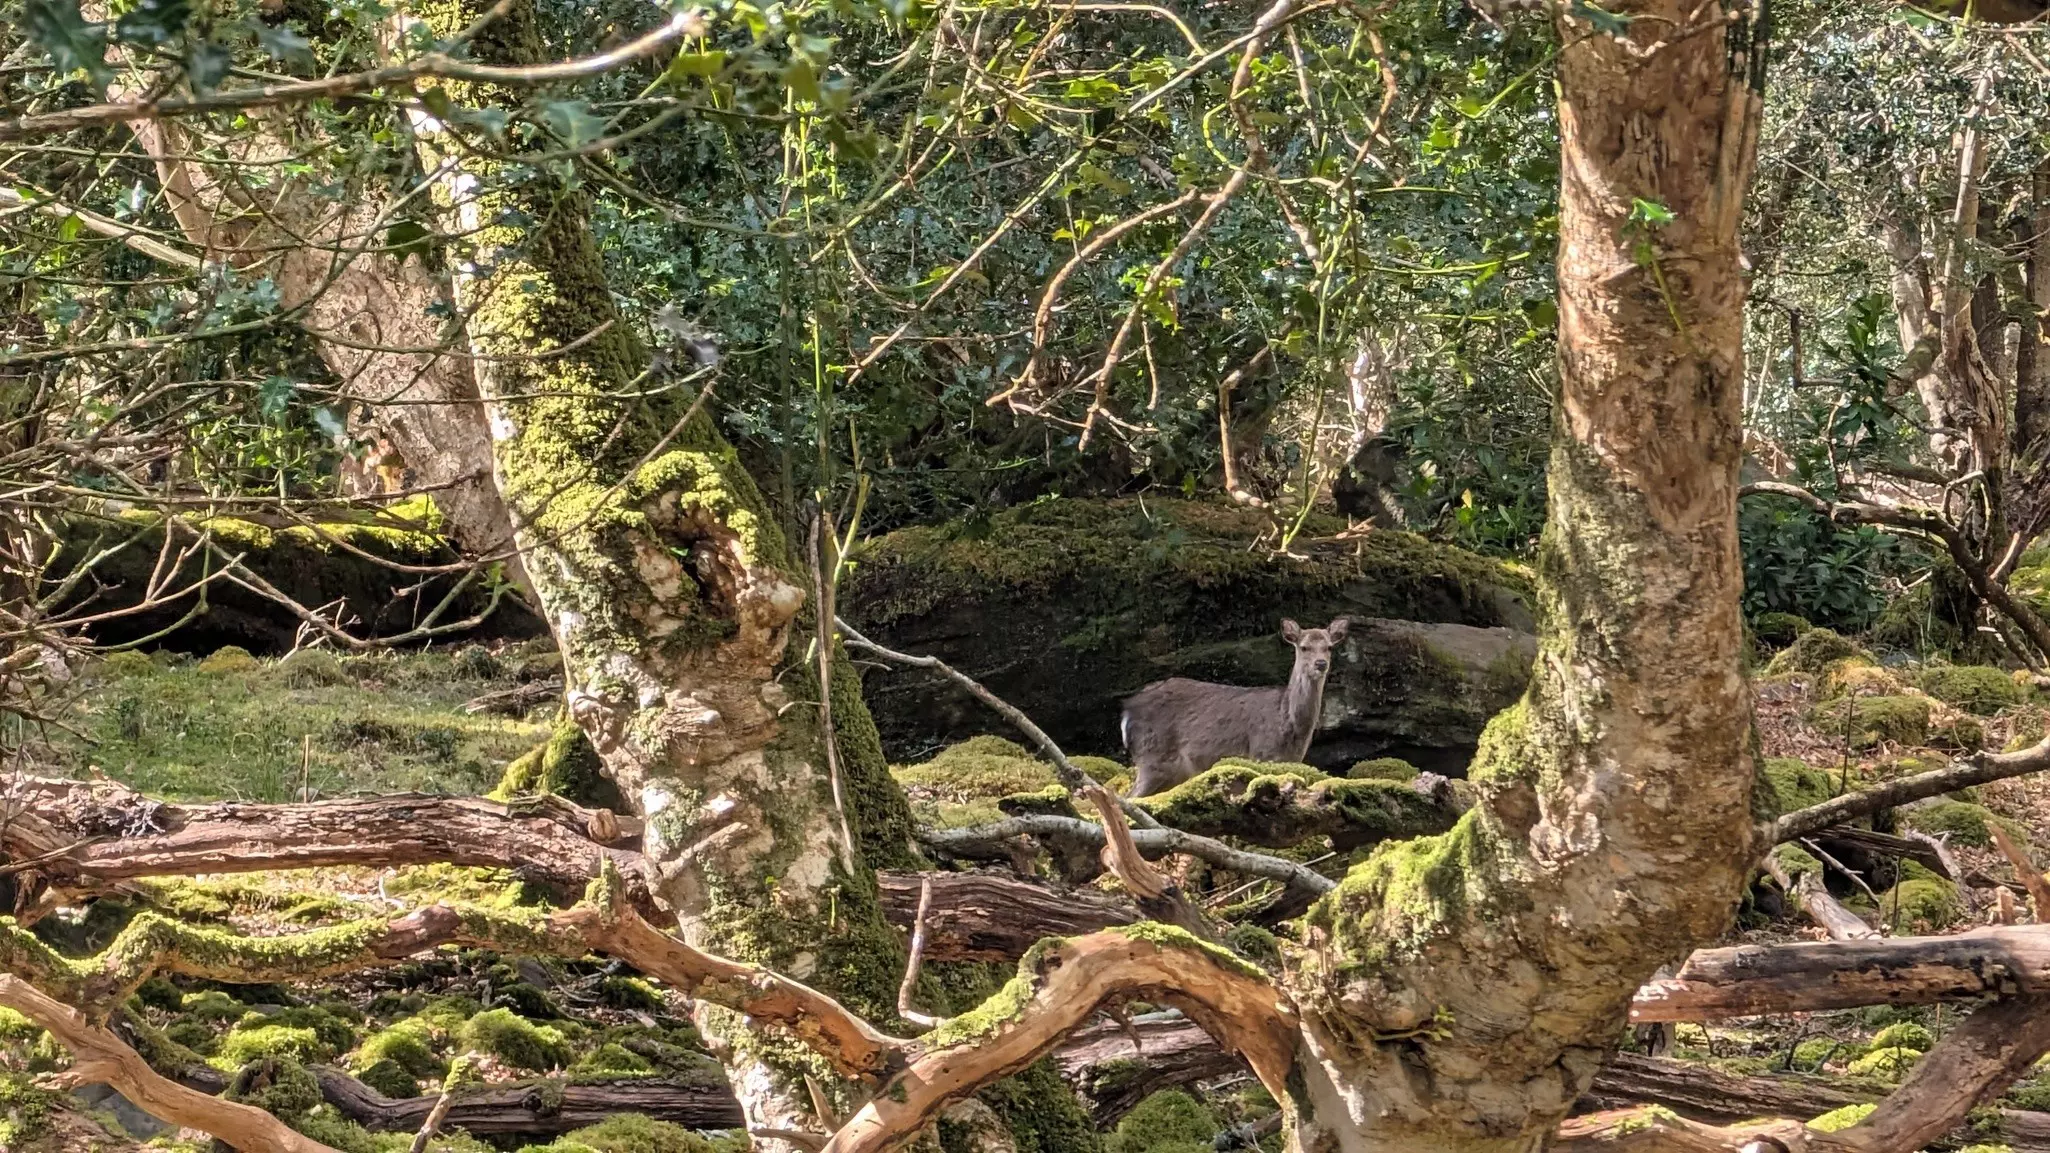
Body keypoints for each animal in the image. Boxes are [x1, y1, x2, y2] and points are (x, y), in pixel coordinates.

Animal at [1119, 617, 1351, 797]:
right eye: (1304, 647)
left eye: (1329, 647)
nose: (1321, 664)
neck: (1287, 720)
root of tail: (1126, 712)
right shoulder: (1261, 752)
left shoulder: (1290, 760)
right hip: (1152, 757)